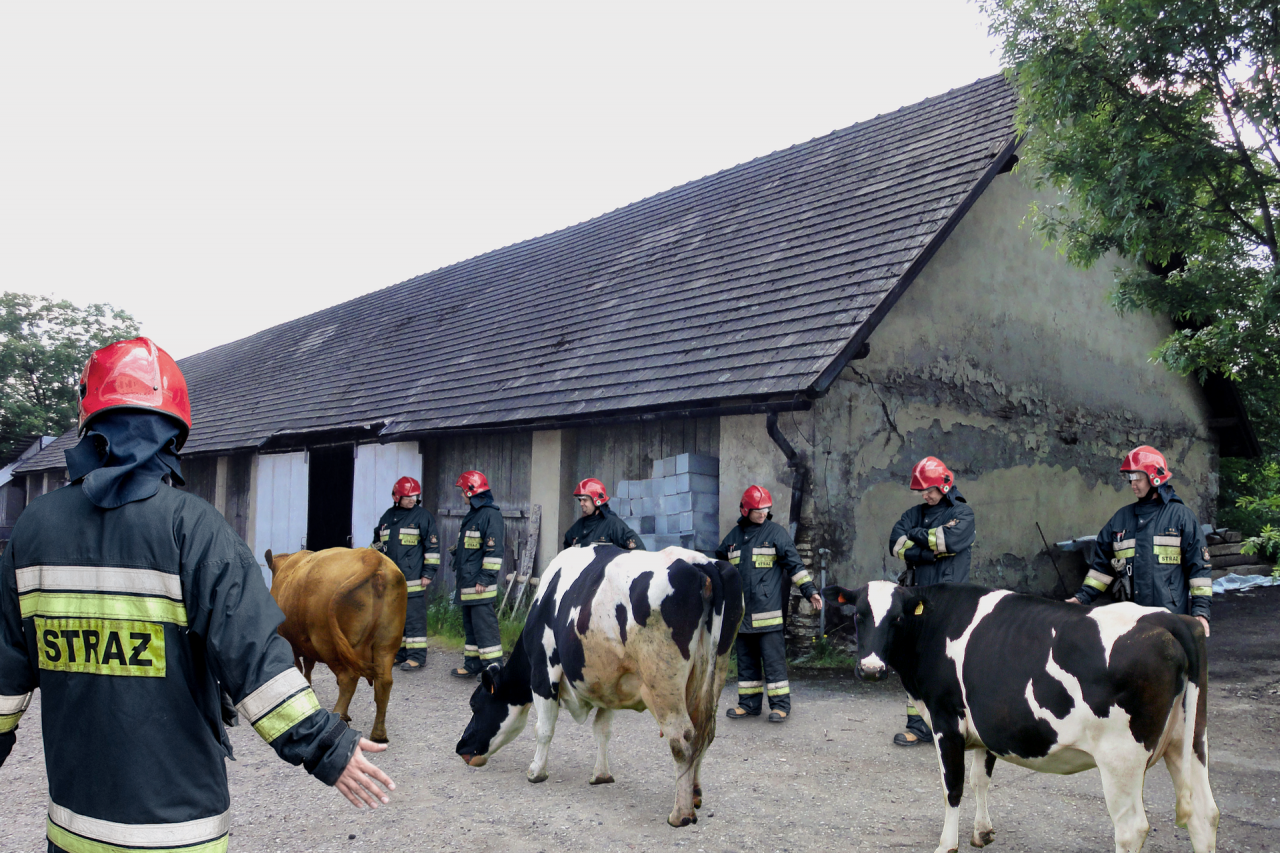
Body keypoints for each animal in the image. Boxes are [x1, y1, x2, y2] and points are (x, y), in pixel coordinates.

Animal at [267, 548, 407, 742]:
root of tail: (370, 554)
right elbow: (308, 667)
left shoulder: (290, 641)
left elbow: (300, 668)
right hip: (386, 644)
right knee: (383, 682)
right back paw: (378, 734)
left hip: (327, 641)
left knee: (348, 678)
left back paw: (340, 716)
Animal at [458, 545, 742, 824]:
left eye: (475, 705)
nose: (460, 747)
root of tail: (702, 563)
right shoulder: (609, 683)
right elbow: (602, 730)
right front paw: (602, 775)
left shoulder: (543, 672)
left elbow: (544, 729)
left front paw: (536, 771)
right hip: (713, 674)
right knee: (704, 734)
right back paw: (694, 795)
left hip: (663, 684)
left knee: (681, 739)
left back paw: (680, 813)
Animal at [829, 578, 1218, 850]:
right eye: (859, 615)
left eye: (896, 618)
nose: (870, 669)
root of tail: (1169, 619)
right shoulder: (986, 724)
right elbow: (980, 779)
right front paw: (982, 833)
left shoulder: (946, 719)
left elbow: (952, 786)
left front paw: (946, 845)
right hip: (1189, 741)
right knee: (1204, 815)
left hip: (1121, 756)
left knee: (1131, 828)